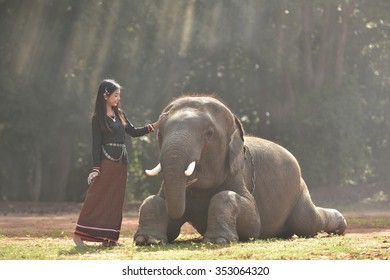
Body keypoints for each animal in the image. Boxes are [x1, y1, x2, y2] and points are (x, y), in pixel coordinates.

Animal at [133, 95, 344, 244]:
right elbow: (155, 203)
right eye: (160, 134)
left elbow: (252, 222)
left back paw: (340, 224)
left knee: (307, 222)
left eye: (209, 134)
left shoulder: (238, 174)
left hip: (299, 191)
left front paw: (219, 240)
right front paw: (147, 240)